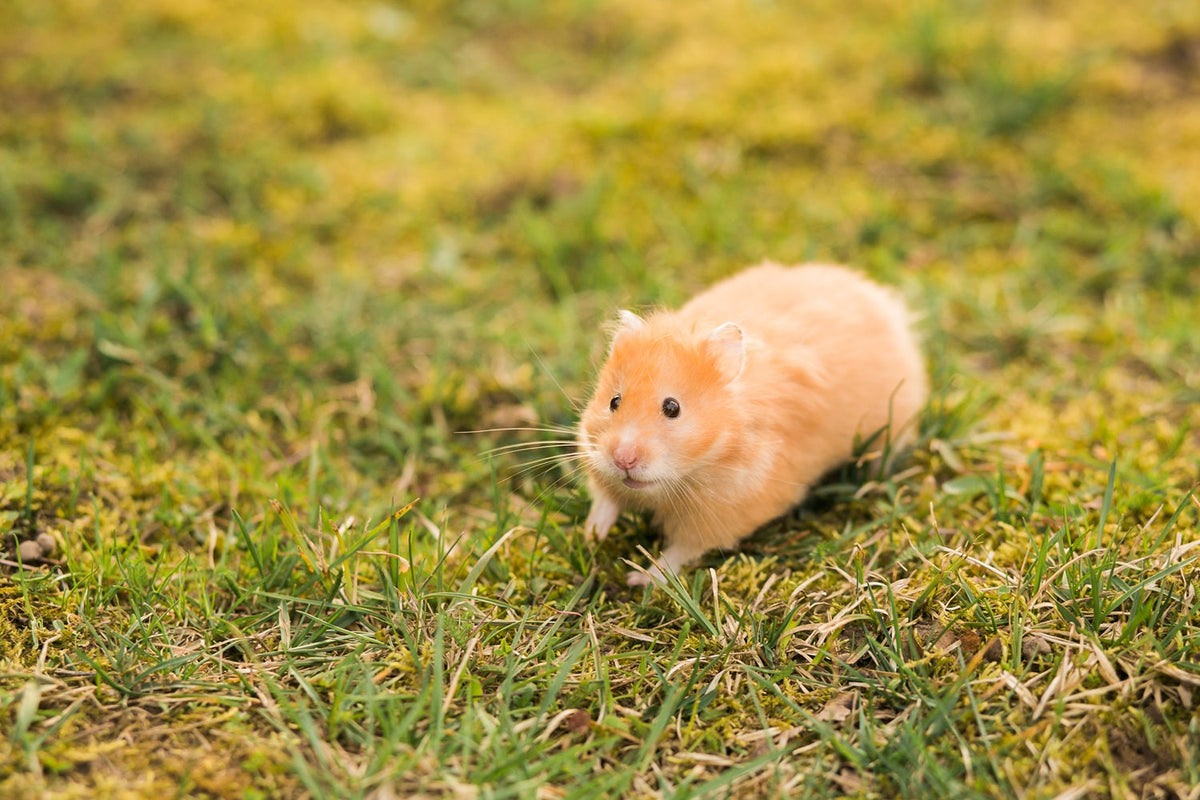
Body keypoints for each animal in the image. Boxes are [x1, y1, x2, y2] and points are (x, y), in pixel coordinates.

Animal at [578, 262, 928, 587]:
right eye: (614, 401)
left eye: (672, 408)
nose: (623, 459)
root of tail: (880, 299)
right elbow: (605, 499)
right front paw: (591, 537)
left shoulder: (724, 513)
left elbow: (679, 552)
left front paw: (638, 580)